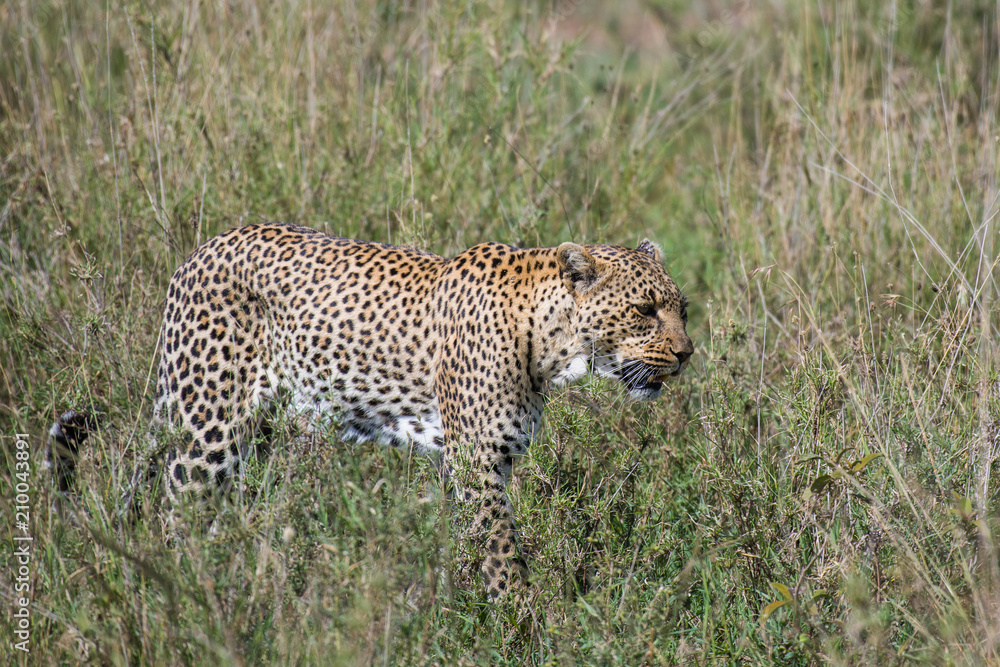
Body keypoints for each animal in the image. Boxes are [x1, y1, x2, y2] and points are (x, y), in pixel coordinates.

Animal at [49, 221, 693, 597]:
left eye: (682, 308)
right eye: (643, 311)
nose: (687, 353)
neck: (551, 344)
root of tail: (199, 251)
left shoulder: (471, 466)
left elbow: (468, 548)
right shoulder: (479, 462)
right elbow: (503, 554)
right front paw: (523, 625)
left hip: (250, 431)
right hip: (209, 428)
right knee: (177, 514)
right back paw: (190, 597)